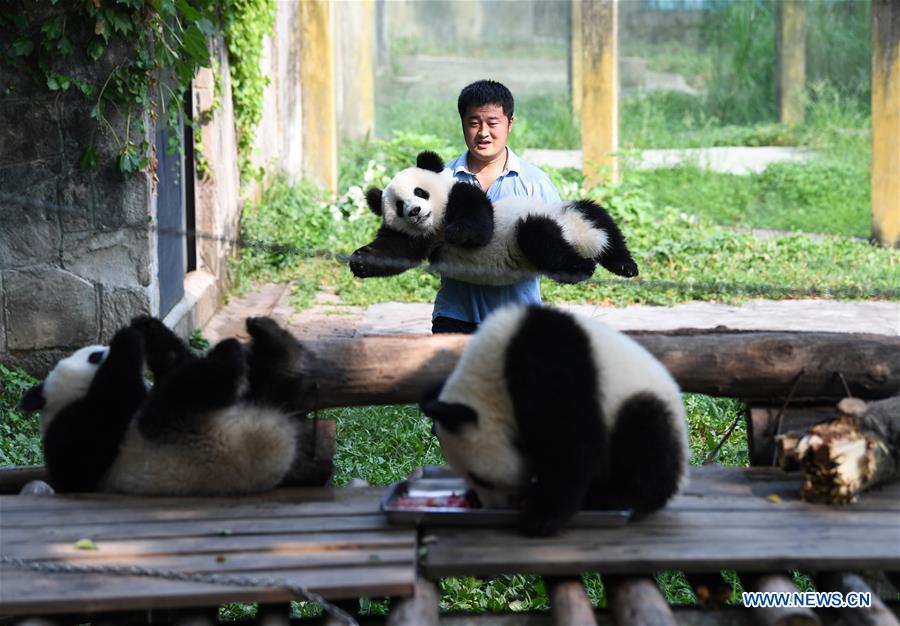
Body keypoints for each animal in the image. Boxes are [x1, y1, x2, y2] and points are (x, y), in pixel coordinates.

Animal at [20, 316, 306, 496]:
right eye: (94, 355)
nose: (104, 346)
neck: (69, 399)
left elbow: (172, 360)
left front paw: (145, 326)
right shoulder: (76, 429)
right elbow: (80, 460)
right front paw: (126, 339)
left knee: (276, 378)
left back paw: (269, 337)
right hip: (176, 424)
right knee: (195, 384)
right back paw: (231, 352)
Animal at [349, 151, 638, 286]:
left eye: (420, 192)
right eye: (399, 205)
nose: (415, 211)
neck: (436, 224)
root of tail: (580, 238)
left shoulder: (461, 194)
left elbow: (480, 227)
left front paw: (458, 231)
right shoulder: (414, 236)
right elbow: (395, 251)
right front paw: (360, 260)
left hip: (562, 212)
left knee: (554, 232)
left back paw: (602, 265)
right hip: (571, 218)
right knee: (591, 225)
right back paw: (608, 264)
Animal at [420, 304, 689, 537]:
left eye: (481, 478)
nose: (496, 506)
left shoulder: (549, 368)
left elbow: (571, 443)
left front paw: (540, 517)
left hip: (642, 406)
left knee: (646, 435)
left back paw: (615, 497)